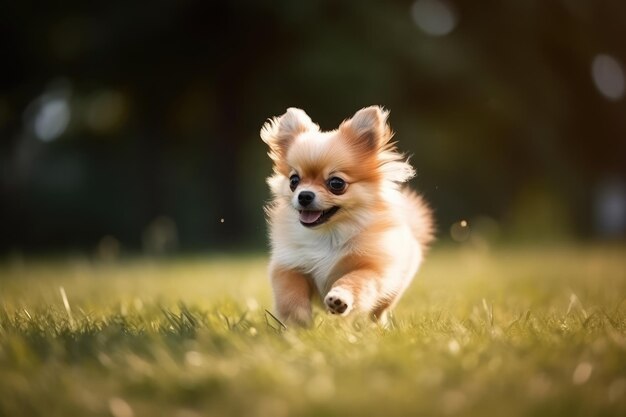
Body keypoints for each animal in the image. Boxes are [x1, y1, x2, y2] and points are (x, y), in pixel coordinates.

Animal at [260, 105, 432, 324]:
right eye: (294, 181)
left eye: (336, 183)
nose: (304, 195)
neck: (328, 234)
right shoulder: (289, 266)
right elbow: (290, 295)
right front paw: (299, 320)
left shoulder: (371, 267)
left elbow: (354, 281)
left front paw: (340, 298)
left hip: (394, 286)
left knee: (379, 310)